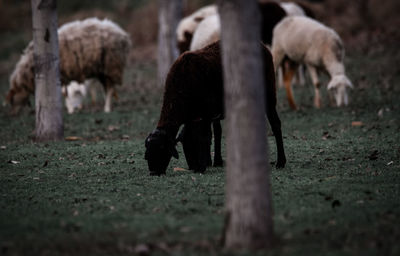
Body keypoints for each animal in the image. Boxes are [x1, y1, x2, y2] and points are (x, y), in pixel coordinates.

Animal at [145, 41, 286, 176]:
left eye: (162, 148)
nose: (153, 173)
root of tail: (264, 47)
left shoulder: (206, 113)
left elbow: (205, 136)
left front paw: (202, 167)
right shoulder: (198, 116)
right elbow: (211, 134)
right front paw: (210, 162)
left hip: (269, 94)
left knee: (276, 124)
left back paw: (280, 162)